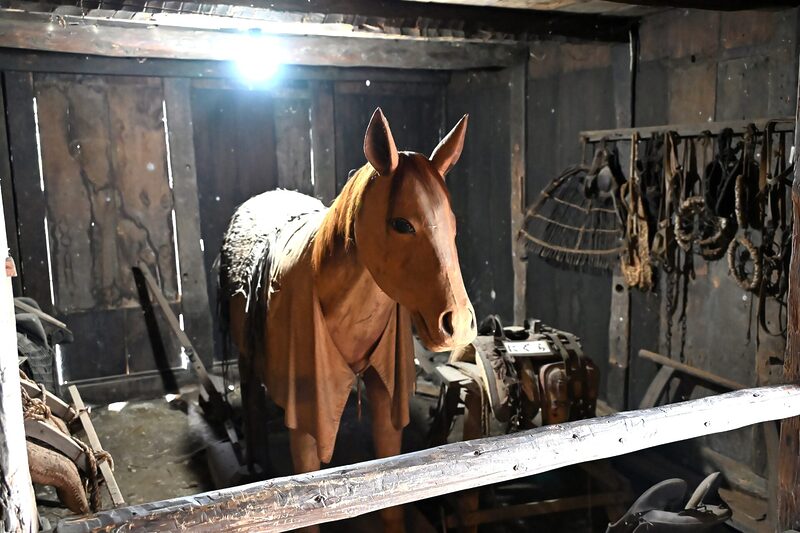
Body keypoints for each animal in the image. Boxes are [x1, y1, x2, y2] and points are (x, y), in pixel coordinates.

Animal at [218, 108, 477, 532]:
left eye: (453, 223)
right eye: (401, 224)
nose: (458, 324)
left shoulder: (388, 394)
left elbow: (393, 502)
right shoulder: (306, 416)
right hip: (246, 353)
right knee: (252, 397)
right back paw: (256, 465)